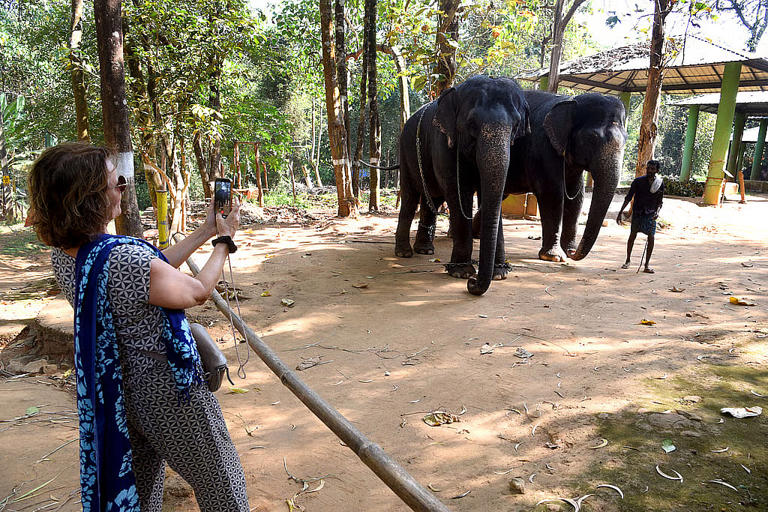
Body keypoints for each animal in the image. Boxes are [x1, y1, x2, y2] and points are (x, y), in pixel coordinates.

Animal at [394, 75, 529, 296]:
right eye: (471, 123)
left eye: (517, 124)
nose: (473, 284)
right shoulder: (443, 144)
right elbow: (458, 194)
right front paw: (461, 273)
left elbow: (491, 195)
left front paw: (499, 273)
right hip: (405, 151)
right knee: (410, 197)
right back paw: (404, 253)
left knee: (433, 199)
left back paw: (425, 249)